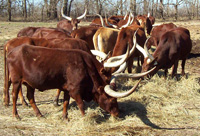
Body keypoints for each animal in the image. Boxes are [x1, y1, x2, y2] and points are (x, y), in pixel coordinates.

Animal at [6, 44, 145, 119]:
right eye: (111, 99)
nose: (117, 113)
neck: (86, 66)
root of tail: (12, 52)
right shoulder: (75, 90)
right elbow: (81, 104)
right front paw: (84, 118)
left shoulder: (67, 89)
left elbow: (66, 102)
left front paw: (65, 117)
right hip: (16, 81)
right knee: (14, 96)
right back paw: (16, 115)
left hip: (30, 83)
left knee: (31, 97)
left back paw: (39, 114)